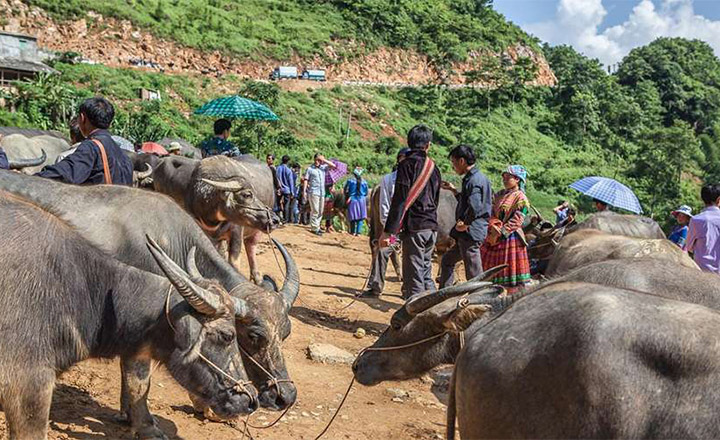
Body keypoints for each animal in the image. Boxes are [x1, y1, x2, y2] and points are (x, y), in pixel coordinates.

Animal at [153, 153, 280, 282]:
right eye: (247, 195)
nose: (275, 219)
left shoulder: (237, 233)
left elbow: (233, 263)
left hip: (257, 231)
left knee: (251, 246)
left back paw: (257, 278)